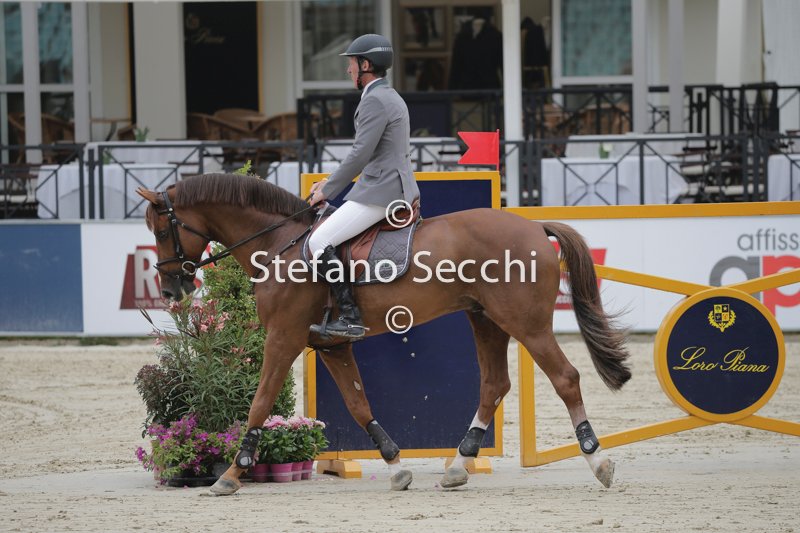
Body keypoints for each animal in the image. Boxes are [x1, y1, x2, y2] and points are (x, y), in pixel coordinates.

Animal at [136, 173, 631, 495]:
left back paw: (599, 461)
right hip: (485, 320)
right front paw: (395, 465)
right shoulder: (332, 344)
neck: (279, 247)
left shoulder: (283, 338)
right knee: (494, 385)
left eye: (160, 229)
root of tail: (533, 226)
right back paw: (458, 466)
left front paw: (231, 474)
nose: (170, 290)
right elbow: (359, 405)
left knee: (565, 378)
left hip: (525, 324)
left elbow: (260, 403)